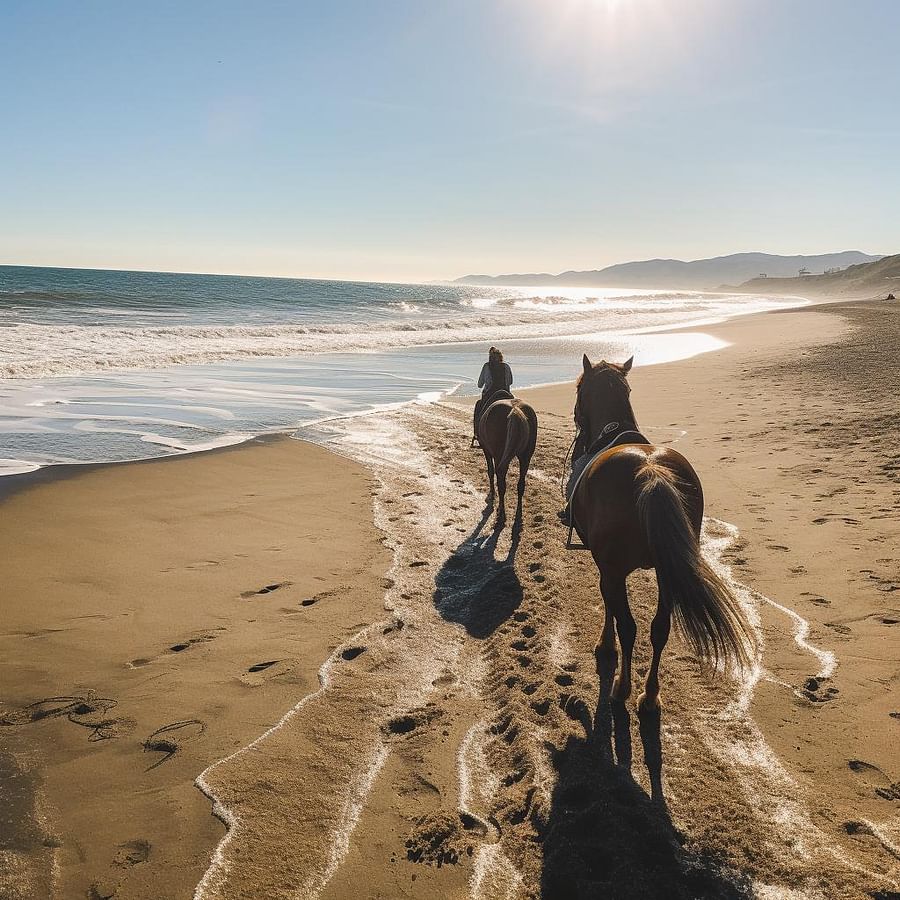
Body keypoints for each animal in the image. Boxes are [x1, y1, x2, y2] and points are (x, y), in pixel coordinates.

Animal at [568, 354, 755, 713]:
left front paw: (605, 646)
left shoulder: (608, 569)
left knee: (630, 628)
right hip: (668, 572)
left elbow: (610, 606)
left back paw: (622, 688)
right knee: (660, 629)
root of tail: (650, 472)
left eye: (579, 389)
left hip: (621, 570)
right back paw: (651, 695)